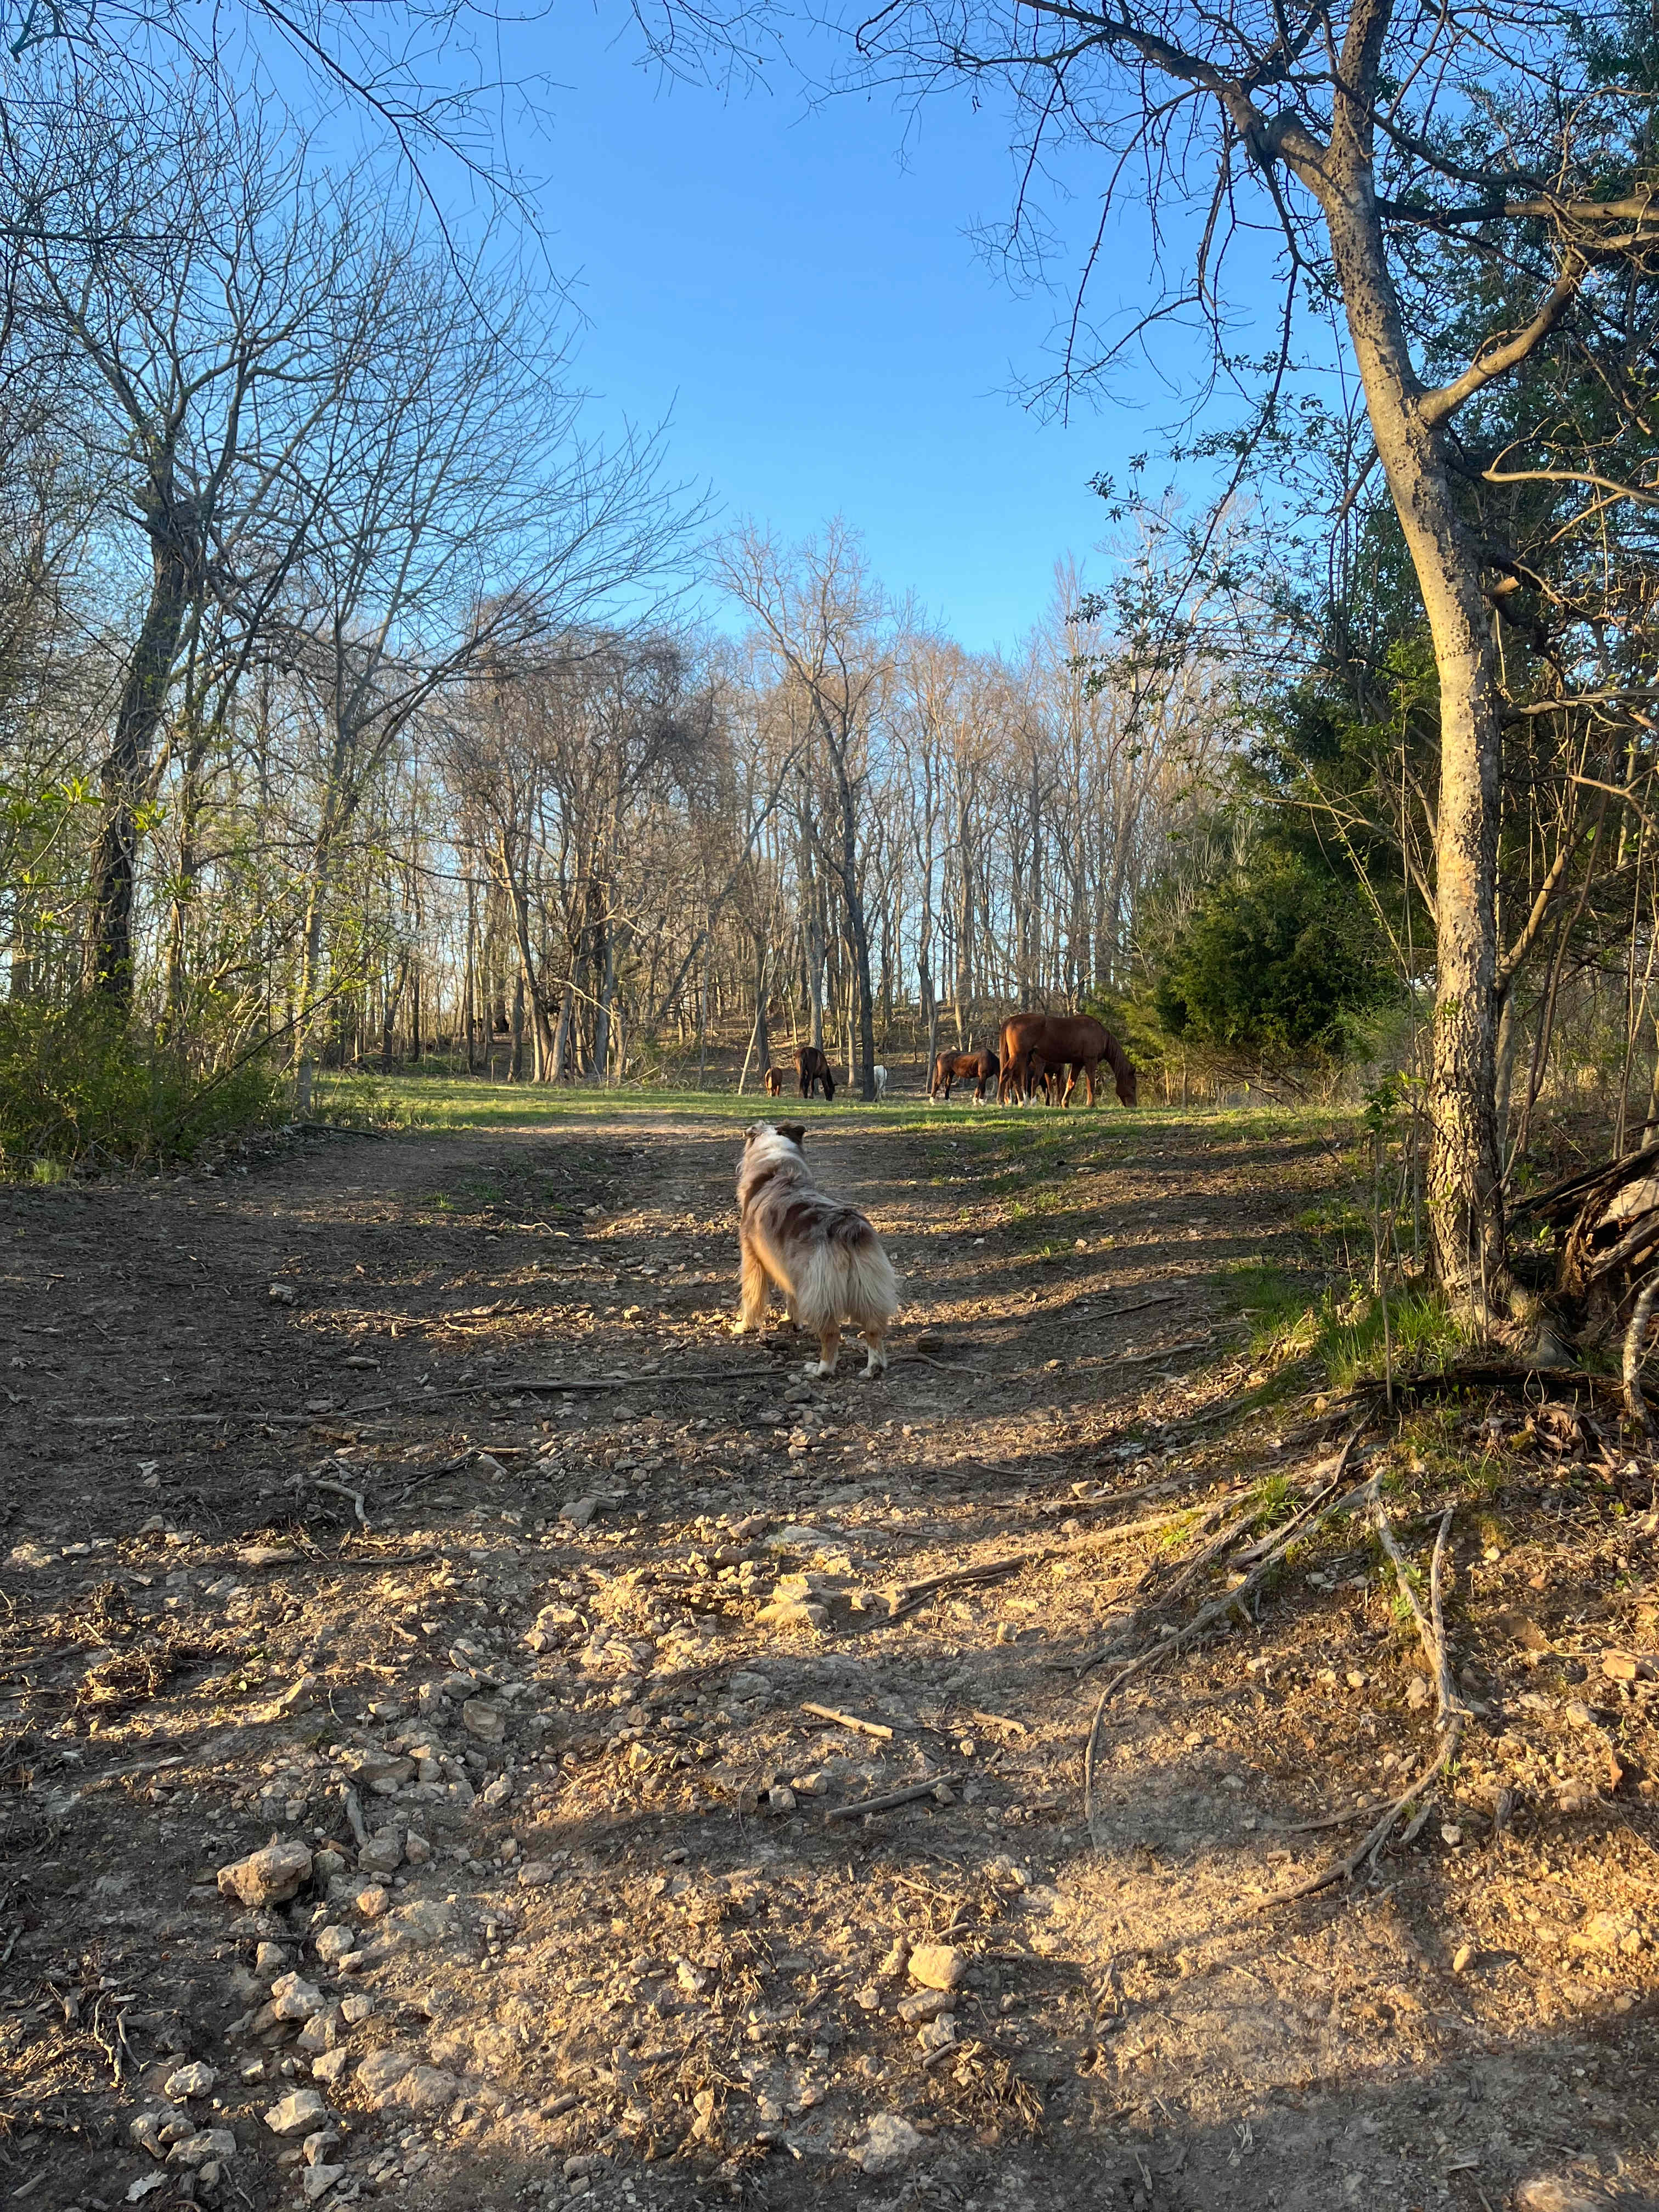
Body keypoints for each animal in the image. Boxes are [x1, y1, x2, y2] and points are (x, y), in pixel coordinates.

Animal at [998, 1014, 1136, 1108]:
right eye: (1133, 1086)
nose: (1134, 1106)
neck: (1101, 1034)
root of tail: (1011, 1020)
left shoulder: (1078, 1063)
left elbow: (1071, 1083)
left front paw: (1065, 1103)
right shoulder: (1090, 1061)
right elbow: (1091, 1083)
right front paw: (1091, 1104)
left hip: (1023, 1058)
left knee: (1015, 1078)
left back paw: (1022, 1102)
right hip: (1018, 1056)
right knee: (1005, 1074)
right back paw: (1002, 1102)